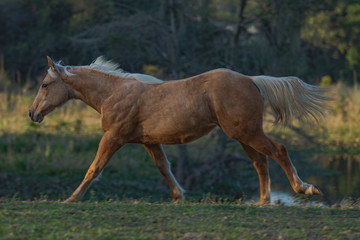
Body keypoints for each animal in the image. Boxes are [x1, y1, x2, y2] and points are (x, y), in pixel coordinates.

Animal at [28, 56, 330, 204]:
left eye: (44, 84)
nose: (32, 113)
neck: (113, 93)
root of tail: (252, 80)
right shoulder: (149, 142)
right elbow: (164, 168)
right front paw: (179, 196)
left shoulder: (114, 137)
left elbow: (95, 167)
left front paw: (71, 198)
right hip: (243, 135)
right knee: (260, 161)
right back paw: (263, 201)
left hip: (247, 133)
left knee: (278, 151)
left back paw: (306, 189)